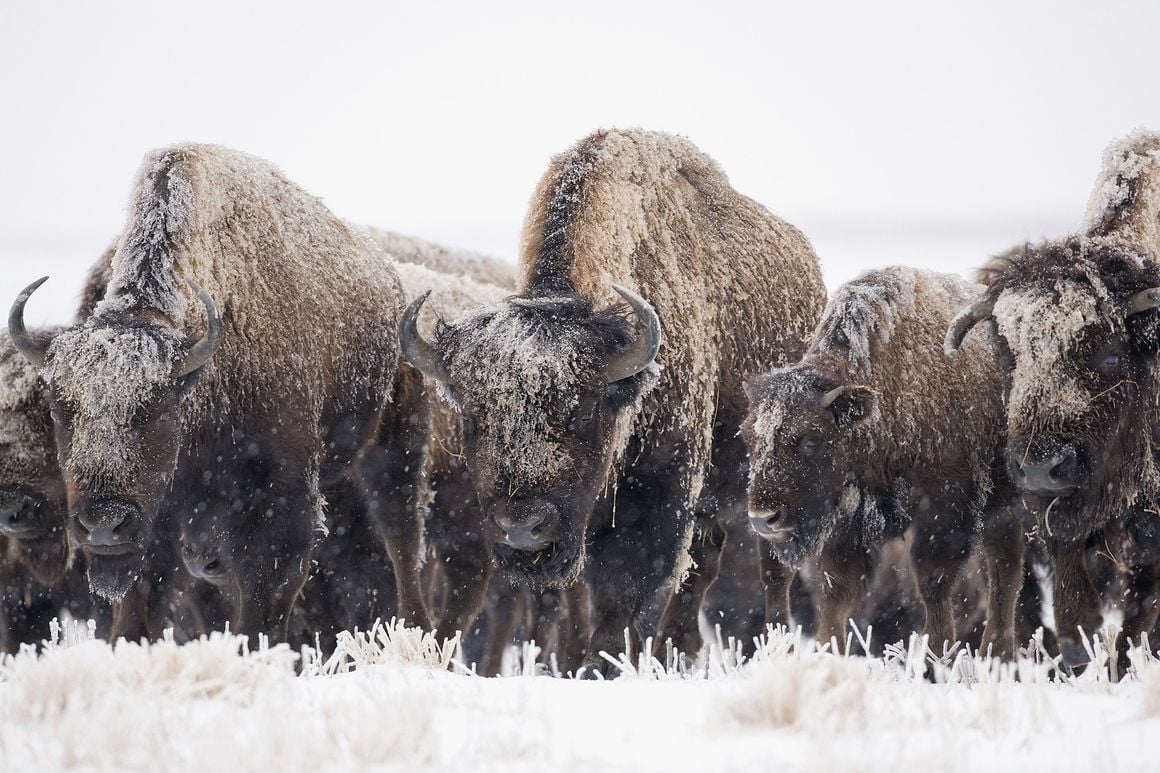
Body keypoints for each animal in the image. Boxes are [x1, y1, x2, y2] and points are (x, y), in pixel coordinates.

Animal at [399, 129, 825, 673]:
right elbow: (579, 595)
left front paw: (605, 665)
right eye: (474, 415)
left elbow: (624, 588)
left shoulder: (658, 493)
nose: (522, 528)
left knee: (768, 573)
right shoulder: (584, 523)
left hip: (772, 492)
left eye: (583, 408)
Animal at [742, 266, 1025, 654]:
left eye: (812, 440)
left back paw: (996, 651)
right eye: (748, 436)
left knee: (1004, 568)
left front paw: (937, 655)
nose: (764, 519)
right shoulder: (847, 523)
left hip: (1000, 502)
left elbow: (933, 583)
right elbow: (836, 594)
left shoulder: (946, 506)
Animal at [946, 129, 1160, 673]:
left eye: (1112, 354)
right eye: (1008, 353)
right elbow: (1071, 592)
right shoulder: (1055, 515)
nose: (1042, 466)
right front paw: (1078, 653)